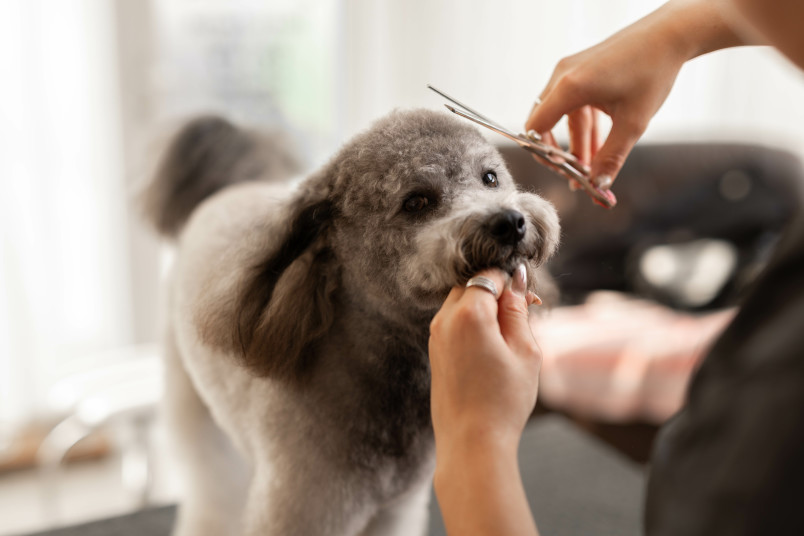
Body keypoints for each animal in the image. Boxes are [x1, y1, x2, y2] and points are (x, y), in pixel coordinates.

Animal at [144, 110, 560, 536]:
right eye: (416, 201)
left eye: (490, 178)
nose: (510, 222)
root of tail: (226, 189)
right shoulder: (307, 506)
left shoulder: (396, 507)